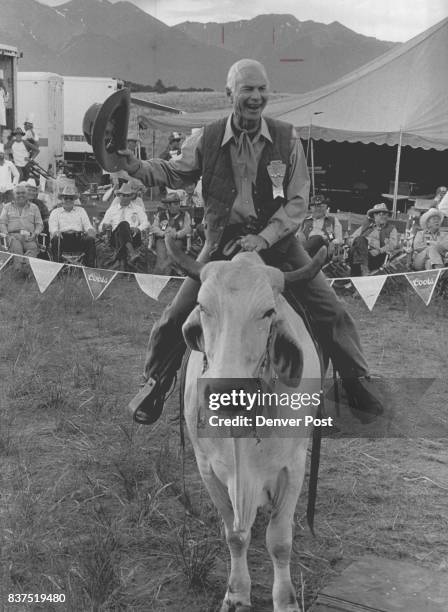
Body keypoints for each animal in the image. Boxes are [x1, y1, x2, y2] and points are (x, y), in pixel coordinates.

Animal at [168, 241, 322, 608]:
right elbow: (236, 536)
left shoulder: (293, 467)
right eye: (202, 306)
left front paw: (286, 600)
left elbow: (279, 541)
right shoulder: (208, 469)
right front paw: (237, 594)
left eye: (267, 312)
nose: (226, 391)